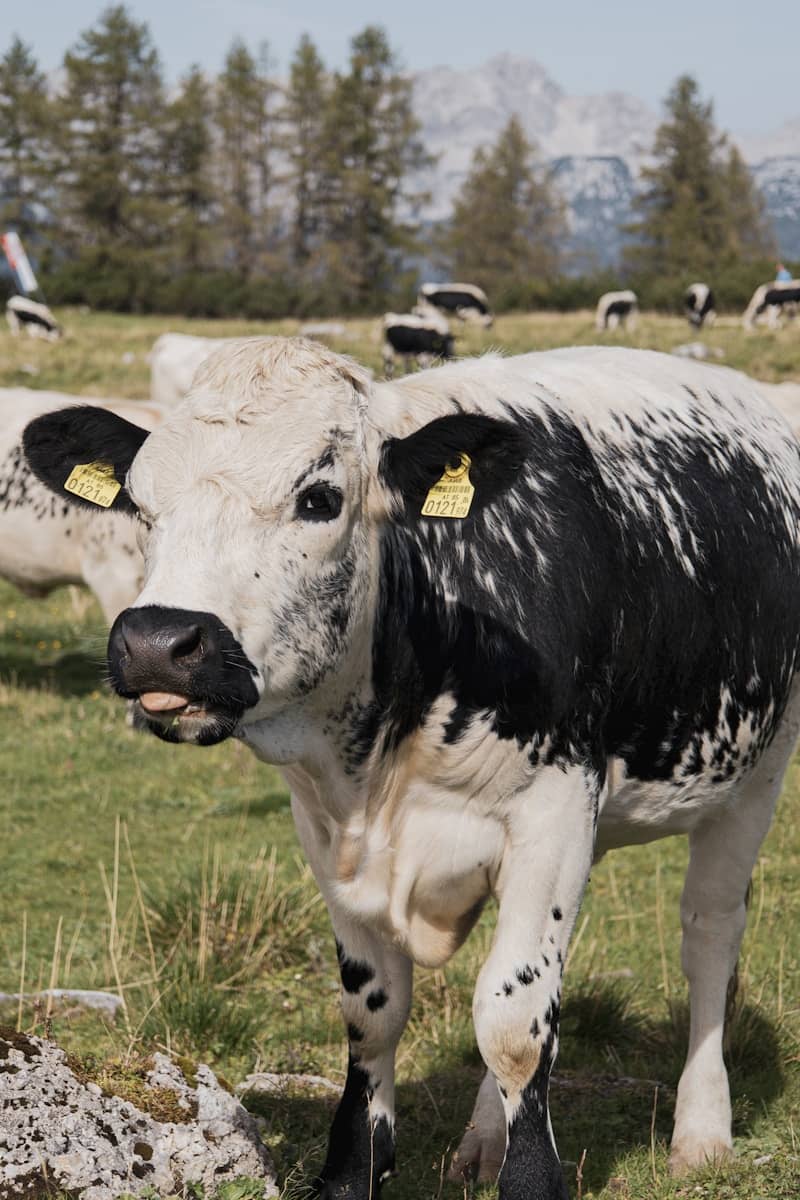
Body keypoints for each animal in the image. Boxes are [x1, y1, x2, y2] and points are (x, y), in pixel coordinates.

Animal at [23, 336, 800, 1200]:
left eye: (319, 499)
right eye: (141, 504)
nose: (159, 642)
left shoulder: (556, 804)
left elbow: (515, 1022)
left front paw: (532, 1178)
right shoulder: (326, 825)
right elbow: (377, 1012)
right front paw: (352, 1168)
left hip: (756, 775)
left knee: (708, 935)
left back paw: (701, 1131)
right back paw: (484, 1140)